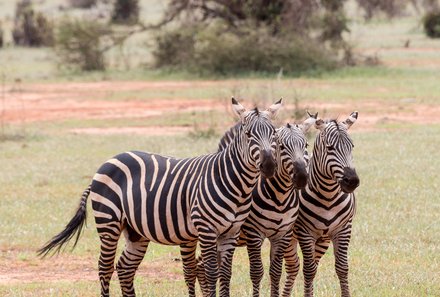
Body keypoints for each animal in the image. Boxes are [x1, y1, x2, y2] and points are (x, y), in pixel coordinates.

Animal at [39, 97, 284, 296]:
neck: (236, 185)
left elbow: (226, 274)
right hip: (108, 222)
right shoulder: (206, 230)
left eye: (273, 133)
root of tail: (108, 161)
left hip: (135, 230)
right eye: (248, 135)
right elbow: (211, 273)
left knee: (125, 268)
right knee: (105, 268)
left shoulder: (230, 233)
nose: (269, 165)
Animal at [196, 111, 316, 296]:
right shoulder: (254, 233)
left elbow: (276, 271)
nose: (302, 177)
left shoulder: (283, 234)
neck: (280, 197)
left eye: (306, 145)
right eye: (281, 147)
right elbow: (257, 271)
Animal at [282, 111, 360, 296]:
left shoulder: (343, 229)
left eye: (352, 146)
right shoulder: (304, 231)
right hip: (289, 235)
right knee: (293, 267)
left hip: (323, 240)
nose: (352, 181)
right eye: (330, 148)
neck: (328, 195)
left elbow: (342, 268)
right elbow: (309, 270)